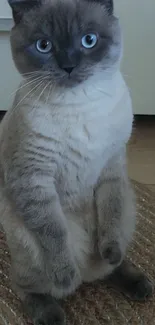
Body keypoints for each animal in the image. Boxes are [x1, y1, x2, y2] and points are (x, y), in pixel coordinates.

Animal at [0, 0, 153, 322]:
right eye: (44, 46)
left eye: (89, 40)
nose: (68, 65)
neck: (80, 105)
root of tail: (87, 274)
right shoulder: (34, 180)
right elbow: (54, 235)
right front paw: (64, 275)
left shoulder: (111, 168)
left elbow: (110, 213)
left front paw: (111, 250)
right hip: (25, 243)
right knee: (25, 287)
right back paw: (56, 308)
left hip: (129, 211)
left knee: (111, 262)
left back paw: (135, 281)